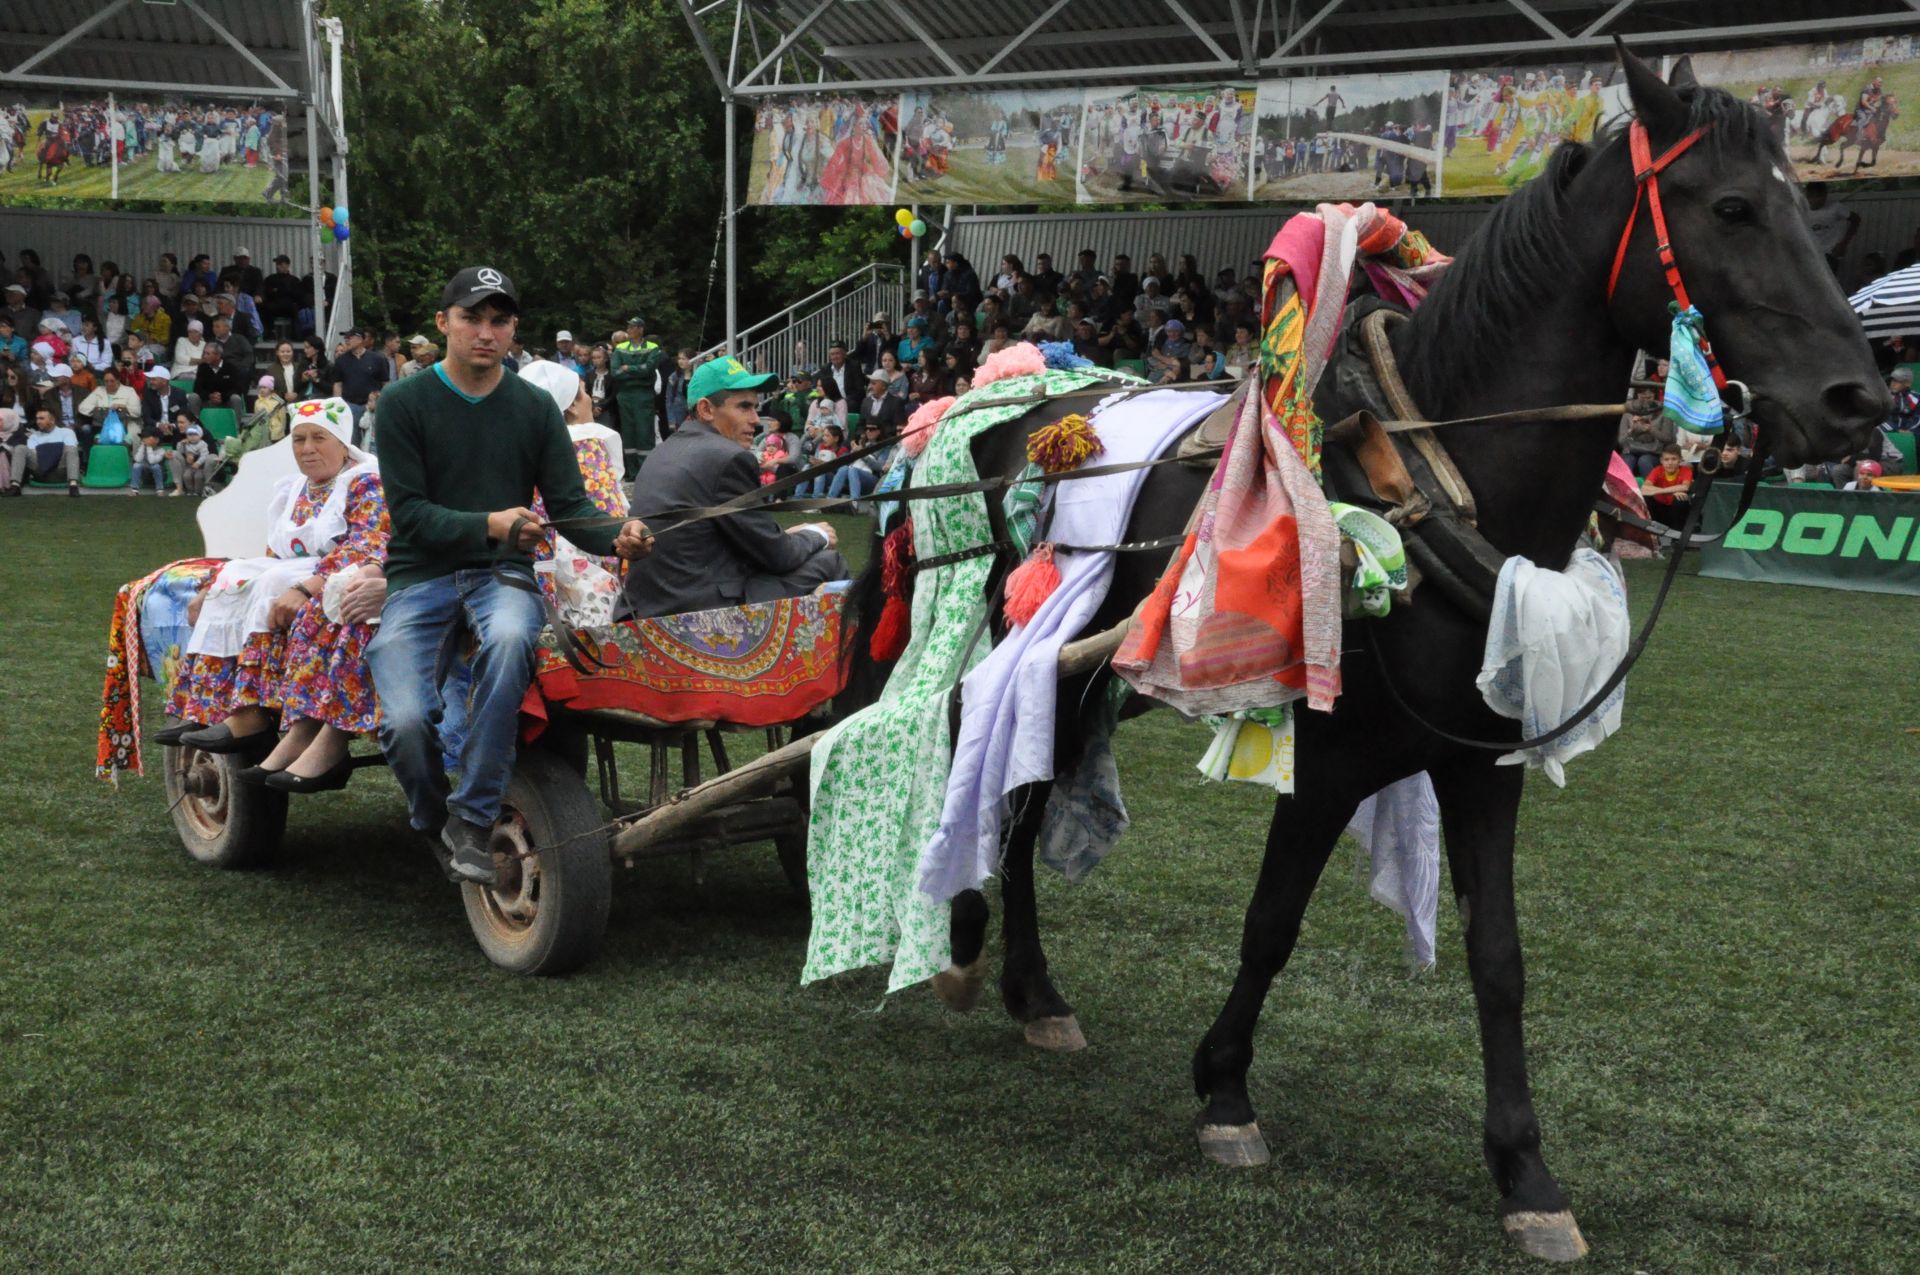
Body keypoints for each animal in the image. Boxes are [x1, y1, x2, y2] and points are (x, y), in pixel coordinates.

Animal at [837, 44, 1873, 1259]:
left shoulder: (1480, 767)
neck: (1430, 484)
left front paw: (1525, 1173)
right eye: (1733, 207)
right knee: (992, 757)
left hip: (1094, 668)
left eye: (1817, 216)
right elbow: (1271, 923)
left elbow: (1500, 960)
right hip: (1023, 633)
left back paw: (1031, 990)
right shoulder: (1324, 759)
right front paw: (1226, 1092)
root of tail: (994, 401)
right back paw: (971, 953)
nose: (1859, 399)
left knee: (1031, 779)